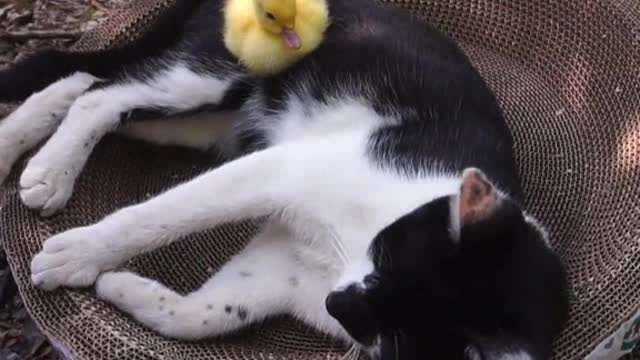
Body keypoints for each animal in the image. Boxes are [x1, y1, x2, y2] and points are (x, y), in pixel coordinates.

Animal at [0, 0, 568, 358]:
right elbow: (165, 214)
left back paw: (20, 149)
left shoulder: (280, 269)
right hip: (216, 73)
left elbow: (206, 313)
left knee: (88, 84)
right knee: (102, 93)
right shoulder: (283, 168)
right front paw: (78, 255)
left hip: (208, 125)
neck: (346, 248)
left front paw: (121, 287)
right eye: (385, 259)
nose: (336, 304)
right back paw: (48, 170)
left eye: (391, 335)